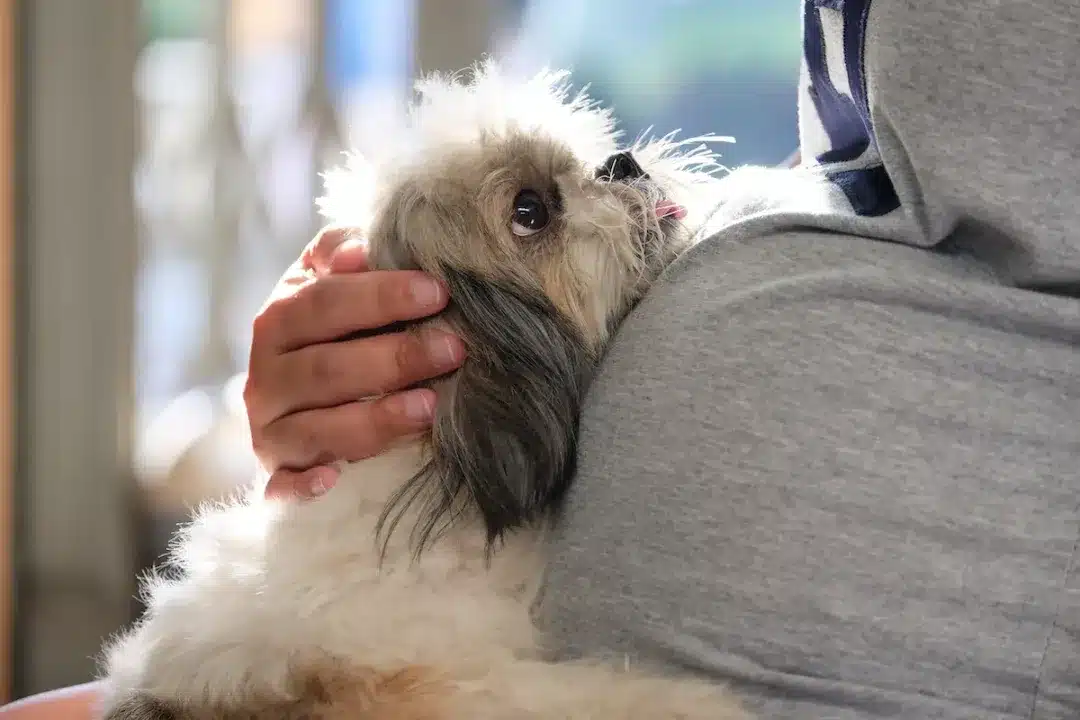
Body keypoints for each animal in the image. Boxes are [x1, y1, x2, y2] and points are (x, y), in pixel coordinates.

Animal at [99, 62, 816, 720]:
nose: (621, 164)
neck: (438, 480)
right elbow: (583, 695)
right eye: (529, 211)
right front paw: (696, 700)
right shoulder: (445, 683)